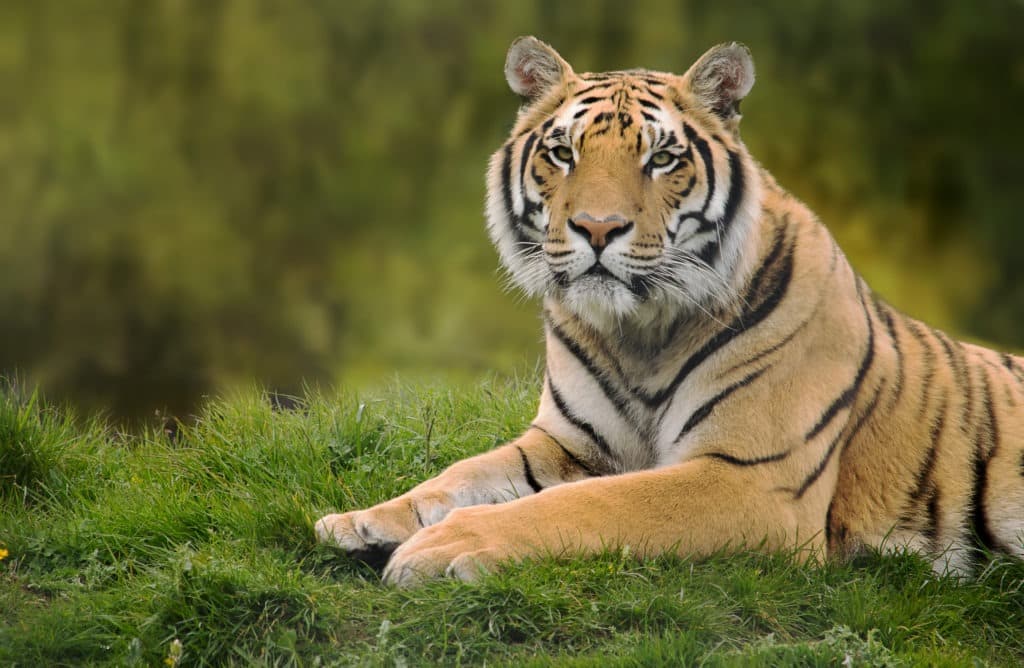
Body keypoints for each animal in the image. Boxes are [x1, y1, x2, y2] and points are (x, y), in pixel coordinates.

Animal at [313, 35, 1024, 586]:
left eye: (661, 158)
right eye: (563, 153)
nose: (597, 228)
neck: (638, 334)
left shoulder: (750, 479)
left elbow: (592, 505)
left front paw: (444, 545)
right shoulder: (567, 443)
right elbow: (460, 474)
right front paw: (363, 522)